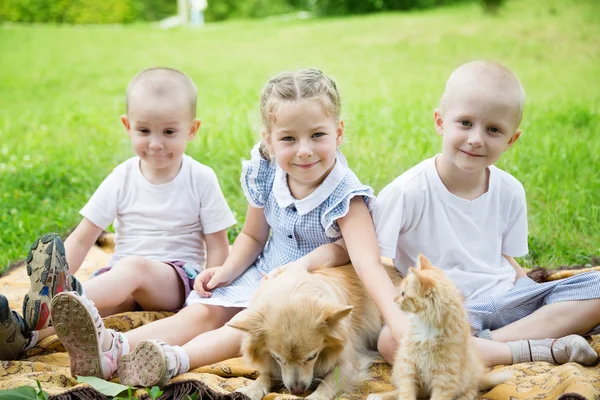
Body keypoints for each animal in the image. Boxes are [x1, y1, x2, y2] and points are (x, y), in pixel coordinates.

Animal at [230, 262, 404, 400]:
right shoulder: (274, 366)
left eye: (312, 357)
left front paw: (315, 396)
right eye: (277, 358)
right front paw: (251, 389)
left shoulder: (348, 364)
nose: (297, 390)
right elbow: (265, 375)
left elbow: (328, 382)